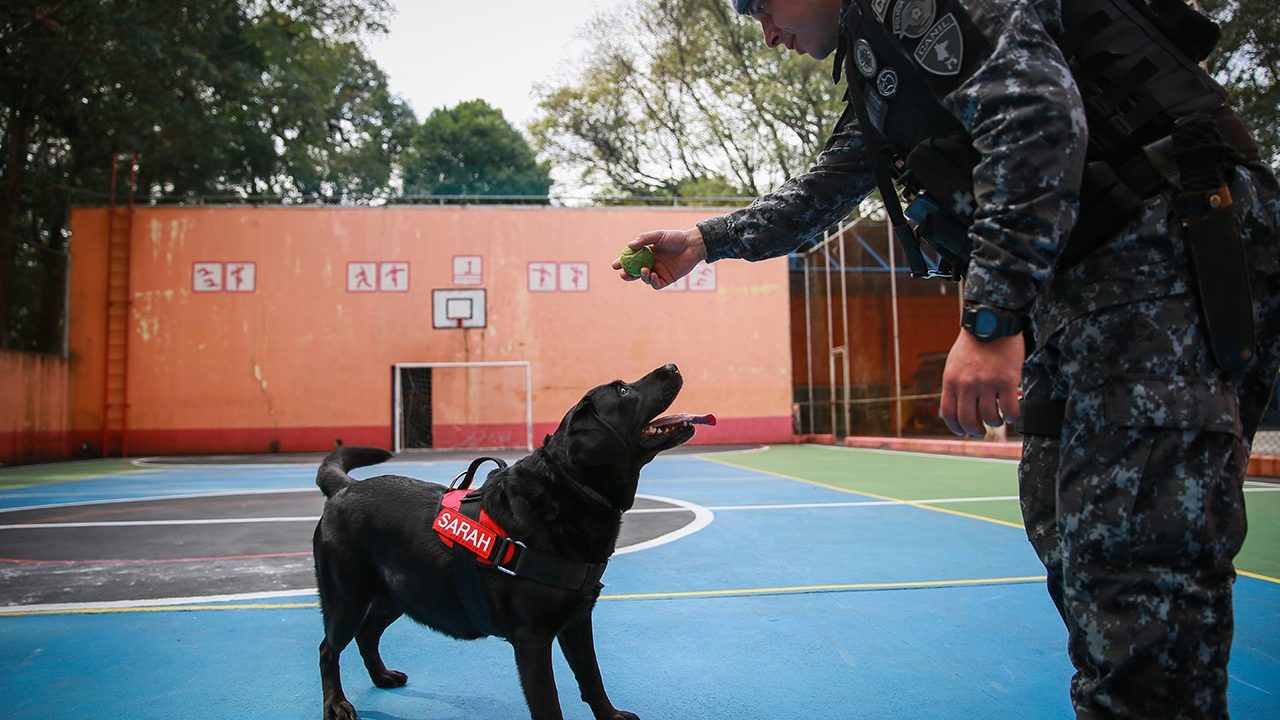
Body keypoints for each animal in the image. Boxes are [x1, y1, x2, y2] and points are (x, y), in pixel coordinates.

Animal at [309, 363, 711, 717]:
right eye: (623, 390)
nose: (672, 366)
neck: (567, 488)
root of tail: (344, 487)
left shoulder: (578, 619)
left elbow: (592, 678)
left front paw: (610, 715)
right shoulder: (532, 637)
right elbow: (548, 704)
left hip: (401, 593)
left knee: (367, 634)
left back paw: (382, 676)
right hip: (347, 596)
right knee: (329, 648)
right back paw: (336, 705)